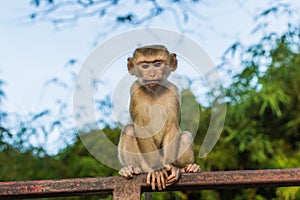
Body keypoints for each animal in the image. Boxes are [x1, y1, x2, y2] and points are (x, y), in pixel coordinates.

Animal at [118, 45, 200, 191]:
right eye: (145, 66)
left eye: (157, 64)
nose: (152, 74)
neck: (154, 91)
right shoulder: (135, 91)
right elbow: (140, 126)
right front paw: (157, 170)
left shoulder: (173, 91)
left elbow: (172, 126)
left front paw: (171, 168)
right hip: (145, 165)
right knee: (129, 130)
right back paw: (131, 169)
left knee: (185, 135)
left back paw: (188, 168)